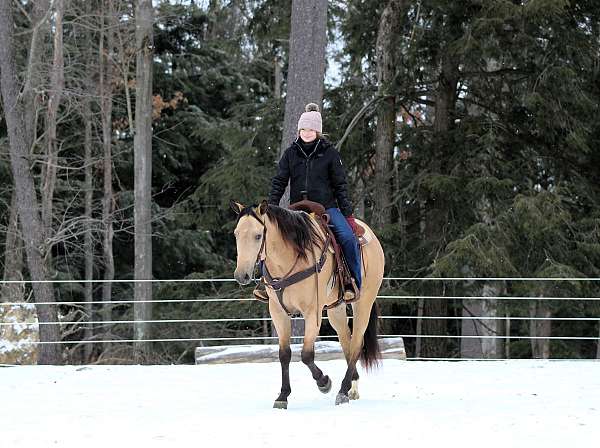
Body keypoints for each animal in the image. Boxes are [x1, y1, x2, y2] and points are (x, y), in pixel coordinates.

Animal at [230, 201, 384, 408]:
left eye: (258, 235)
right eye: (236, 234)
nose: (241, 275)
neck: (287, 262)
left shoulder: (312, 312)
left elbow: (306, 354)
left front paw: (324, 382)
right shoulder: (278, 313)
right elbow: (284, 354)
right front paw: (282, 396)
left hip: (364, 303)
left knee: (356, 344)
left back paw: (343, 390)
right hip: (336, 308)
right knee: (346, 341)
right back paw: (352, 387)